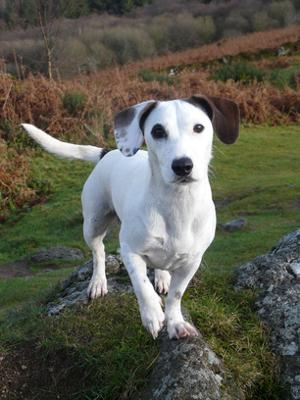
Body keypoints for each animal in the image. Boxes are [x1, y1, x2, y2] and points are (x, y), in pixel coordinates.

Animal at [22, 95, 239, 340]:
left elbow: (176, 295)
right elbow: (141, 284)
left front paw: (175, 322)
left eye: (199, 127)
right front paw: (152, 314)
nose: (182, 165)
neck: (176, 205)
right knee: (99, 252)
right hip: (93, 223)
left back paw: (162, 277)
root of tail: (108, 152)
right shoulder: (130, 250)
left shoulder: (192, 262)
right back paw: (98, 282)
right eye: (157, 131)